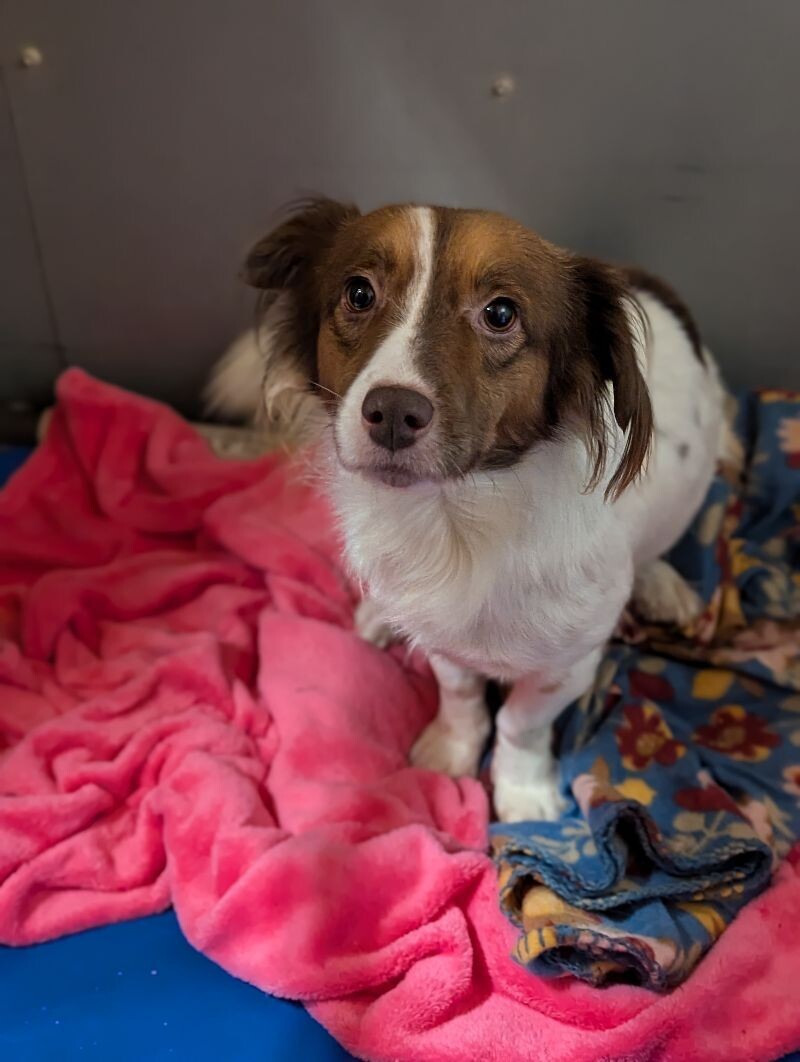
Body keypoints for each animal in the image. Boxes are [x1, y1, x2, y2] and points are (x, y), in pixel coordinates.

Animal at [207, 200, 735, 828]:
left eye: (501, 313)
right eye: (359, 292)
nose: (393, 412)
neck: (457, 516)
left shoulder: (568, 662)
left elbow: (520, 724)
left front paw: (524, 792)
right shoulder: (442, 635)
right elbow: (460, 696)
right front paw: (452, 749)